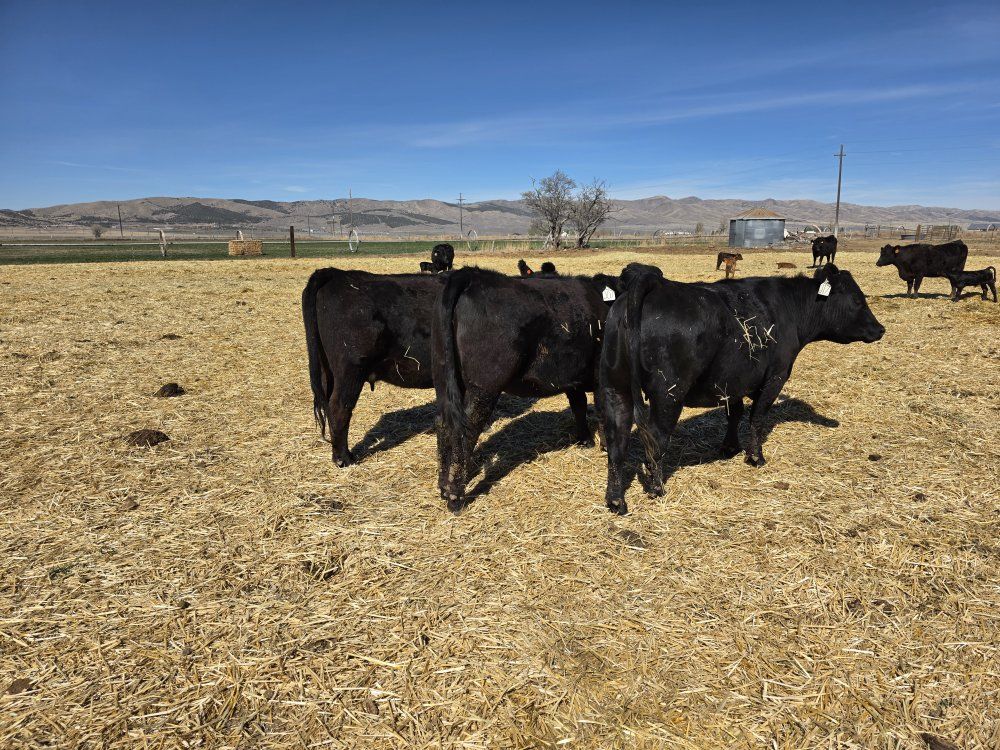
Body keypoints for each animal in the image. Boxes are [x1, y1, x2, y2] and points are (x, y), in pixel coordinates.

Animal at [433, 267, 620, 511]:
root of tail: (473, 275)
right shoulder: (599, 373)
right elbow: (600, 410)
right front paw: (603, 445)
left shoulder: (571, 375)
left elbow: (578, 405)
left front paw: (584, 440)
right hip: (485, 386)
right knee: (466, 428)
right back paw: (455, 495)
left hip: (446, 380)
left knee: (443, 423)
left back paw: (443, 485)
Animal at [599, 263, 885, 515]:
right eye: (858, 300)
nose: (880, 329)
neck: (789, 308)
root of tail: (653, 284)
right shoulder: (775, 377)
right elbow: (756, 418)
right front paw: (755, 457)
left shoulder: (732, 381)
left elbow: (734, 414)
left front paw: (729, 447)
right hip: (668, 394)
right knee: (656, 440)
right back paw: (657, 488)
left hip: (616, 390)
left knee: (616, 444)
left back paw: (616, 501)